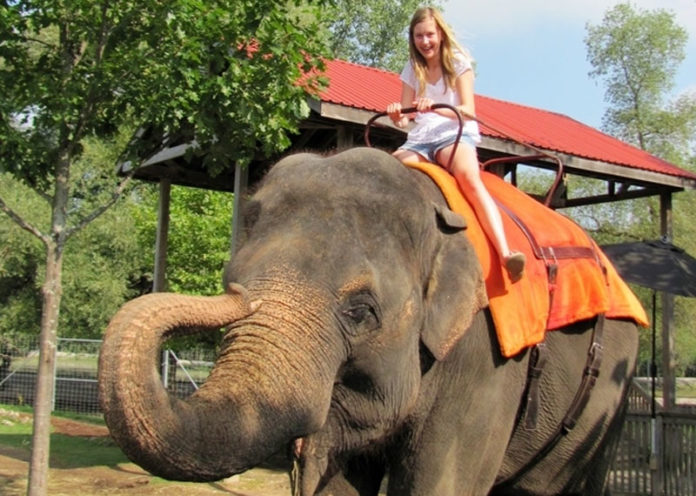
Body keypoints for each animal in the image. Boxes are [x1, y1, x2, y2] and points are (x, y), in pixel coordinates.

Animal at [99, 147, 640, 496]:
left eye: (360, 311)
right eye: (232, 276)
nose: (235, 295)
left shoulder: (486, 358)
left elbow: (440, 484)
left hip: (612, 397)